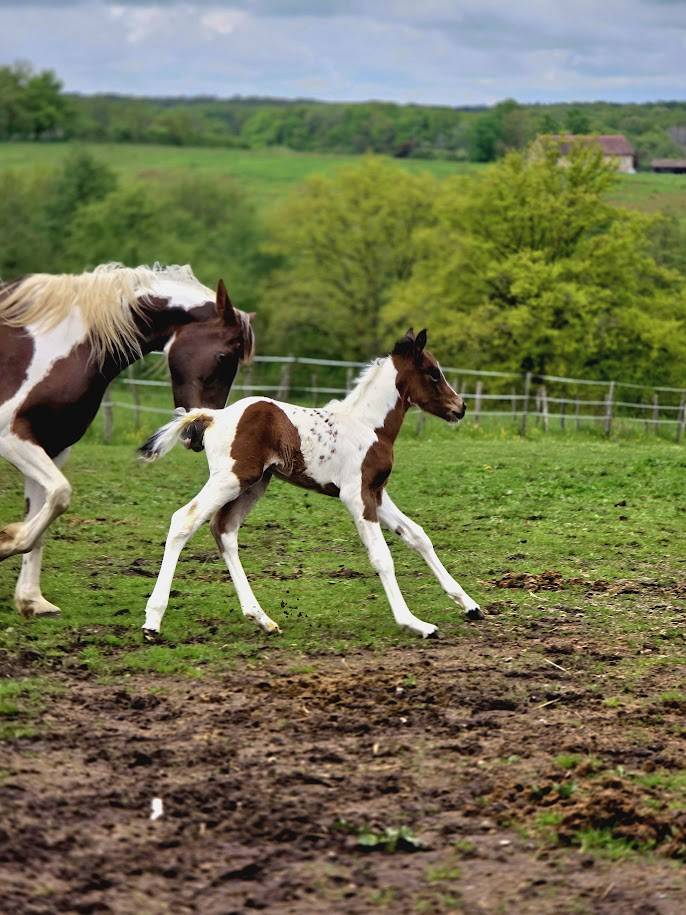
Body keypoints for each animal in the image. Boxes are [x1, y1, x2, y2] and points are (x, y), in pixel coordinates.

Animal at [0, 263, 255, 618]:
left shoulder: (52, 445)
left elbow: (43, 510)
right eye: (222, 356)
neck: (64, 343)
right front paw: (7, 542)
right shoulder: (11, 436)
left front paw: (31, 600)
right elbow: (61, 494)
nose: (199, 434)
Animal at [138, 328, 481, 640]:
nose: (460, 407)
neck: (369, 426)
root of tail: (213, 416)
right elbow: (382, 555)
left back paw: (262, 618)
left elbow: (418, 536)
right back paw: (153, 621)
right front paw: (414, 623)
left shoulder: (377, 493)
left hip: (254, 484)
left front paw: (470, 605)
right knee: (185, 520)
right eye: (433, 373)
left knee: (224, 530)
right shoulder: (356, 496)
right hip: (230, 479)